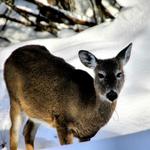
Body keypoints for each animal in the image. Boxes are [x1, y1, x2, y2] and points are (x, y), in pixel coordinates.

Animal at [3, 42, 132, 149]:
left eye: (119, 73)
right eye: (100, 75)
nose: (112, 94)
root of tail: (11, 55)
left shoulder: (86, 135)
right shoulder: (62, 122)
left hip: (36, 111)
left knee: (27, 131)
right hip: (14, 99)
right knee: (13, 132)